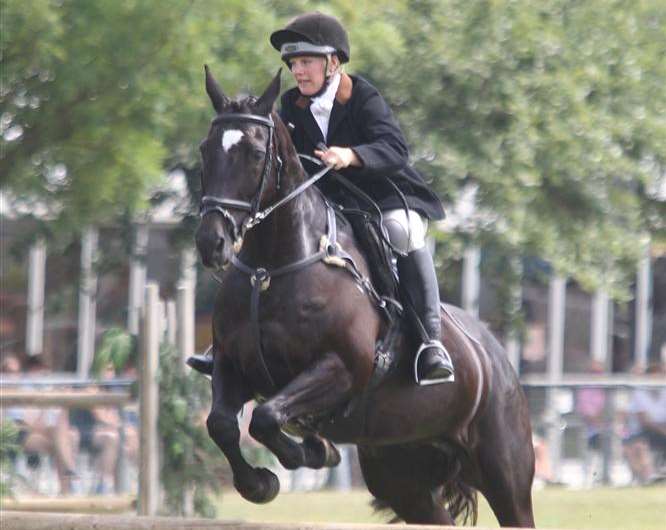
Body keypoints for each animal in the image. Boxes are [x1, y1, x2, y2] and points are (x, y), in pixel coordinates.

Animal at [193, 67, 536, 524]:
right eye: (205, 149)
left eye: (253, 152)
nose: (211, 243)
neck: (269, 271)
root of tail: (496, 356)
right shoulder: (233, 365)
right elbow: (222, 424)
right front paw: (260, 482)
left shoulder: (340, 367)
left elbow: (265, 418)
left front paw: (313, 452)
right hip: (404, 475)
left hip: (505, 472)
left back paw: (434, 360)